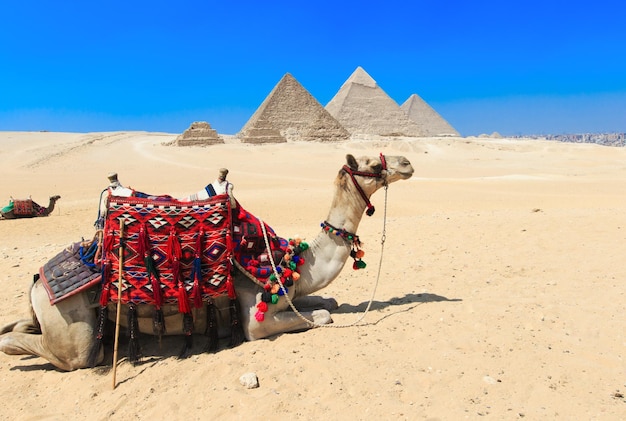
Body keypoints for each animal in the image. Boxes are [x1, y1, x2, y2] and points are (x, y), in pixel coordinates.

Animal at [0, 153, 412, 370]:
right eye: (372, 164)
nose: (406, 162)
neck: (297, 259)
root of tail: (38, 281)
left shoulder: (290, 291)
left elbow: (328, 301)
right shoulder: (253, 315)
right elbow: (322, 315)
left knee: (20, 325)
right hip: (76, 335)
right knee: (48, 348)